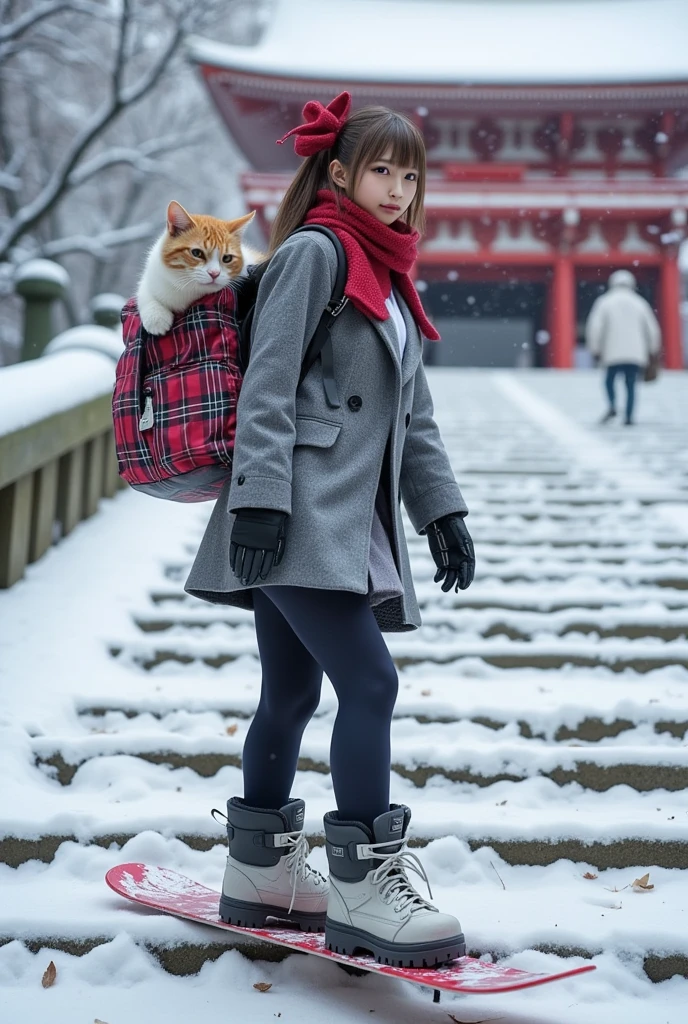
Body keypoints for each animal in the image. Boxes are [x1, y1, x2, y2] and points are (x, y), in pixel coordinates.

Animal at [137, 202, 258, 335]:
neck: (188, 289)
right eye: (196, 253)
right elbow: (144, 291)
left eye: (227, 258)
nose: (214, 273)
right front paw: (156, 317)